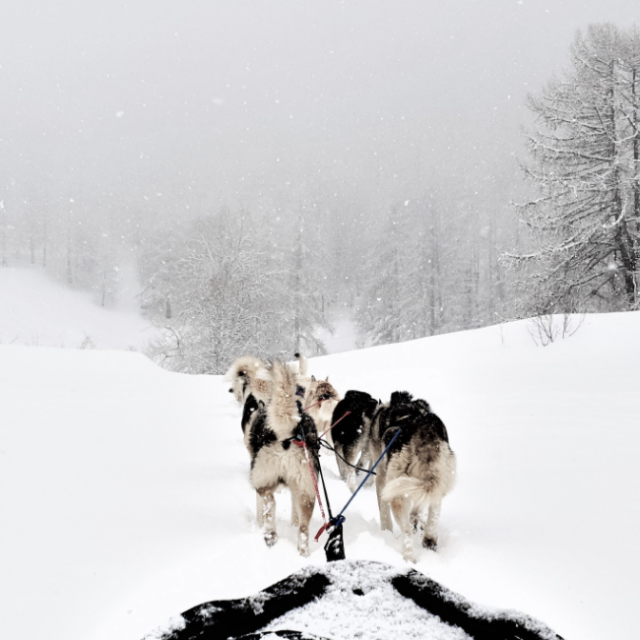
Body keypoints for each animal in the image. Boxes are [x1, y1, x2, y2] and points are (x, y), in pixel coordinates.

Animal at [370, 390, 456, 560]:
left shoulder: (382, 480)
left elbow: (384, 513)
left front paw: (386, 533)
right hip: (437, 480)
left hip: (396, 489)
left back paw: (409, 557)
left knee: (406, 530)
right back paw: (429, 539)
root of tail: (424, 432)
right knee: (433, 513)